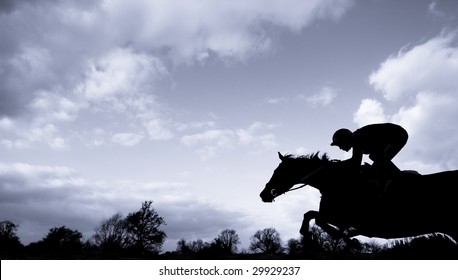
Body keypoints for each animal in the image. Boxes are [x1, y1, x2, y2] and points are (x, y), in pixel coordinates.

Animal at [262, 152, 458, 244]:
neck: (336, 182)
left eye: (277, 172)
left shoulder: (349, 218)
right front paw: (308, 234)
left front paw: (347, 240)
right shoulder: (338, 217)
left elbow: (316, 218)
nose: (263, 194)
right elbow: (310, 214)